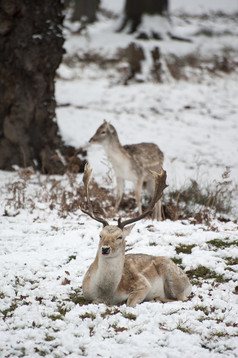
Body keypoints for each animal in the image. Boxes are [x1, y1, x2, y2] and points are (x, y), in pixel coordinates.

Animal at [80, 165, 192, 308]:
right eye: (100, 235)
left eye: (120, 237)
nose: (105, 249)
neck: (107, 293)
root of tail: (188, 282)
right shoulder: (86, 293)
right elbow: (94, 301)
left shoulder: (143, 284)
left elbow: (130, 303)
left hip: (174, 276)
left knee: (182, 298)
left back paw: (156, 298)